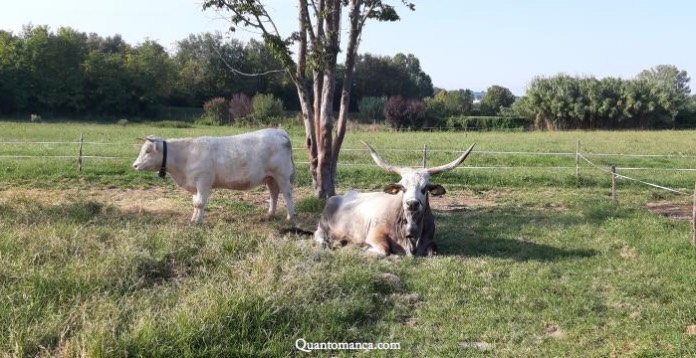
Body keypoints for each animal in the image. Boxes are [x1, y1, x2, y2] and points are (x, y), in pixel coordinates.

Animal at [132, 129, 294, 224]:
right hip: (270, 177)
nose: (134, 165)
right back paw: (270, 215)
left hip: (282, 175)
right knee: (274, 194)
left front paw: (198, 222)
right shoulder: (194, 185)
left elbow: (200, 203)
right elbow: (195, 203)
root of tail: (278, 131)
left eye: (147, 151)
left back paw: (290, 216)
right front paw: (194, 218)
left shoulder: (203, 180)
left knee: (287, 194)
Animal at [314, 141, 474, 256]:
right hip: (323, 226)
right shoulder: (374, 235)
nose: (412, 204)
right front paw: (362, 248)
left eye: (425, 188)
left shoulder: (430, 242)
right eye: (402, 187)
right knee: (319, 237)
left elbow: (432, 251)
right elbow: (384, 250)